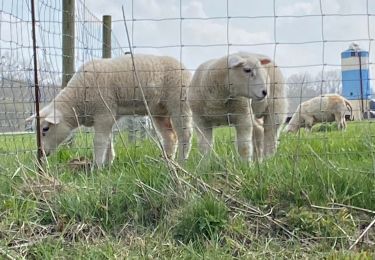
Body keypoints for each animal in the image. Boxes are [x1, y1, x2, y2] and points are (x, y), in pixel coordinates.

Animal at [25, 54, 194, 168]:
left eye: (45, 129)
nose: (40, 154)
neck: (77, 99)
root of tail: (184, 67)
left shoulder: (103, 112)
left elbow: (99, 141)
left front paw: (97, 167)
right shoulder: (107, 115)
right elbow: (108, 141)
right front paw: (107, 163)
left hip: (179, 103)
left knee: (184, 134)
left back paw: (182, 162)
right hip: (159, 110)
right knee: (170, 136)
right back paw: (167, 161)